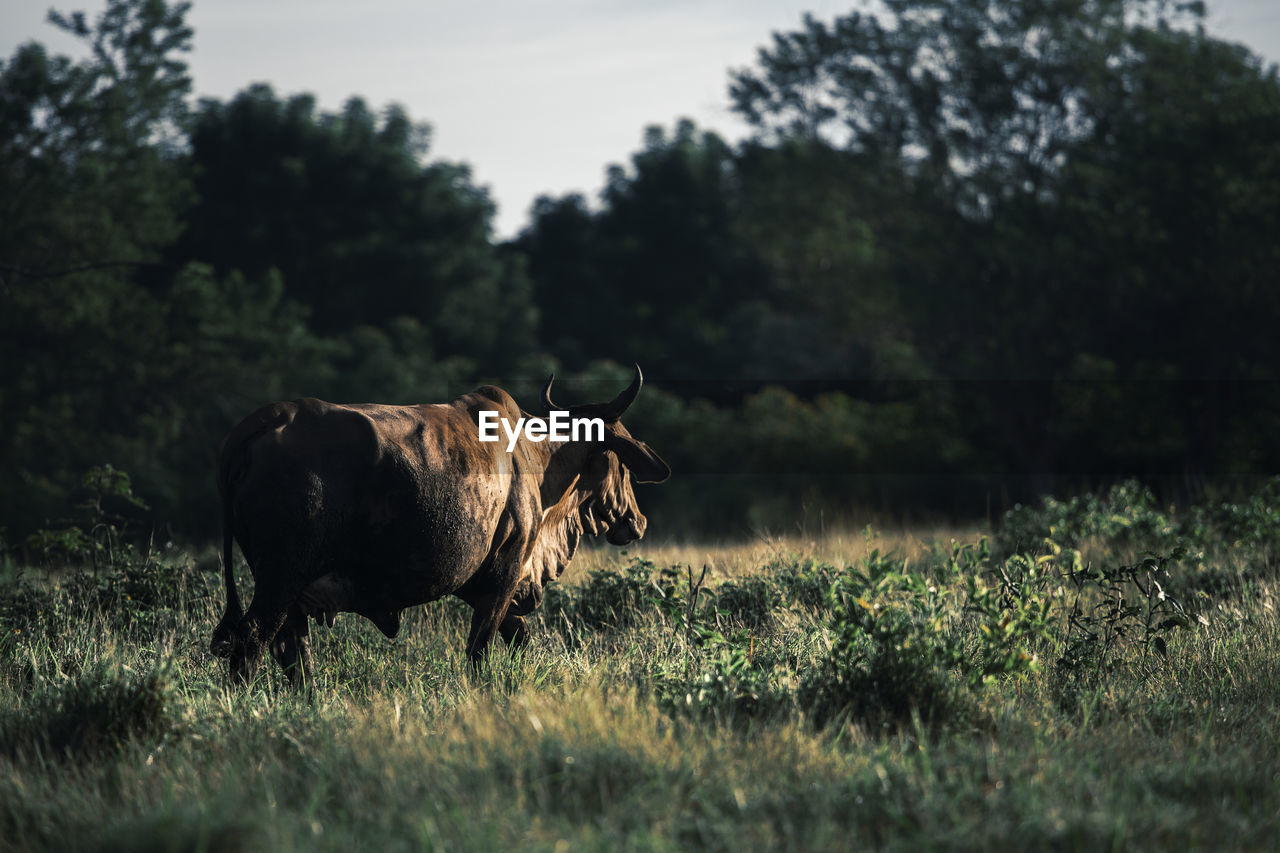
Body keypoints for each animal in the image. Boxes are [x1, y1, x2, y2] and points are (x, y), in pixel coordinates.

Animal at [207, 361, 670, 681]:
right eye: (621, 464)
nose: (637, 521)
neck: (537, 460)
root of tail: (262, 421)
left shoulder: (477, 580)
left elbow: (517, 634)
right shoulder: (504, 571)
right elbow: (480, 650)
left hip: (290, 592)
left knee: (293, 654)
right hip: (281, 578)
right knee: (252, 640)